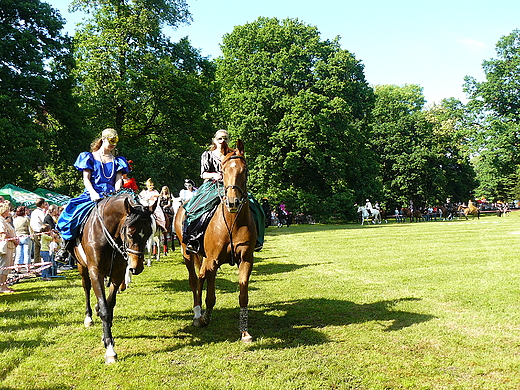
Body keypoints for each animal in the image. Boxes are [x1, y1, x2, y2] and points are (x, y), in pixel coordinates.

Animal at [72, 192, 154, 362]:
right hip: (82, 266)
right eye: (129, 233)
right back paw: (88, 317)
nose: (137, 267)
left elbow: (109, 304)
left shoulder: (118, 273)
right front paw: (110, 349)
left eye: (149, 233)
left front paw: (106, 336)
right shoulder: (95, 271)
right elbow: (104, 309)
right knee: (86, 289)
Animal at [175, 139, 256, 342]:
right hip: (187, 253)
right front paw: (205, 318)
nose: (233, 202)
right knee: (194, 280)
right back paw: (197, 314)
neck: (232, 222)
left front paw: (244, 331)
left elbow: (243, 296)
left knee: (200, 276)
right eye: (224, 170)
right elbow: (210, 295)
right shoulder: (213, 261)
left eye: (244, 170)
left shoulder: (246, 260)